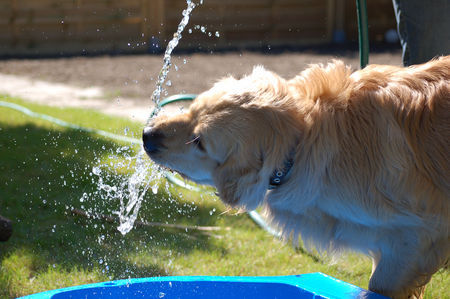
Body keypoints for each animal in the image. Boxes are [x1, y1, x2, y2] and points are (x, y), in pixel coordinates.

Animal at [144, 55, 450, 298]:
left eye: (199, 142)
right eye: (191, 110)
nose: (147, 135)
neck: (303, 138)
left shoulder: (416, 235)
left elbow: (379, 283)